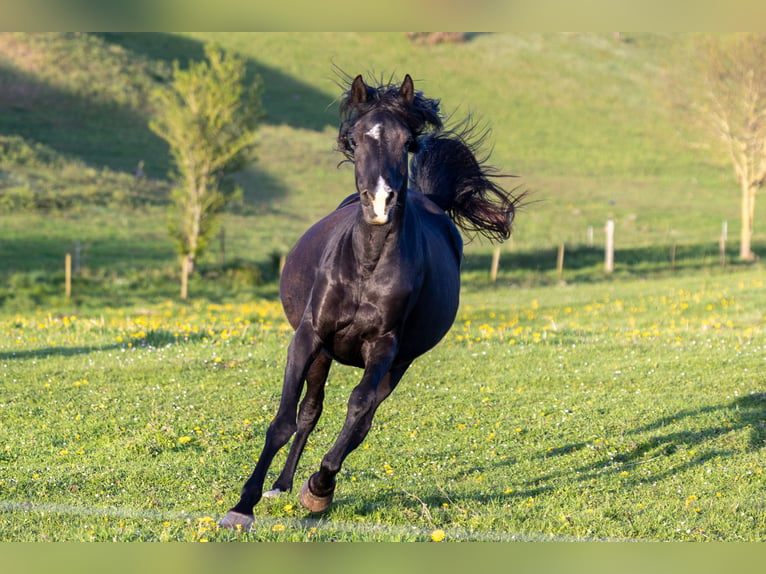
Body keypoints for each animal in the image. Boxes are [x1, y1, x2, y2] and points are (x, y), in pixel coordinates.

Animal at [220, 73, 520, 532]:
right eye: (356, 138)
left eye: (407, 141)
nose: (380, 201)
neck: (366, 266)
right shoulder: (308, 337)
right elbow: (283, 420)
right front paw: (243, 506)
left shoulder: (384, 348)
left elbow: (358, 409)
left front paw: (320, 488)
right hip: (324, 353)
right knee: (309, 411)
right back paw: (281, 485)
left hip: (399, 364)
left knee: (360, 419)